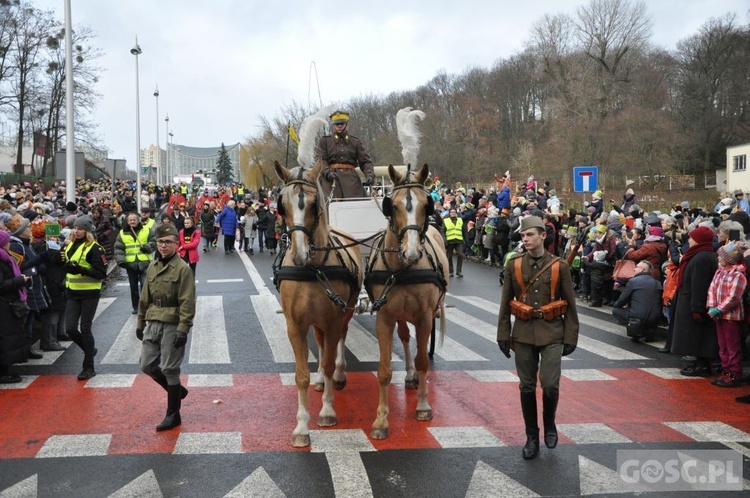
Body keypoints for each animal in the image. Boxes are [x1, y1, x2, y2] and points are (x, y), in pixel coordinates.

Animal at [274, 160, 364, 448]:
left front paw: (326, 411)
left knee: (337, 344)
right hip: (316, 323)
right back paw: (321, 382)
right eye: (282, 204)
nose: (299, 254)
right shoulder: (296, 326)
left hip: (344, 313)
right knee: (322, 344)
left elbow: (328, 362)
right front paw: (302, 427)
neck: (313, 269)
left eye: (314, 205)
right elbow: (301, 374)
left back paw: (337, 376)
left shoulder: (334, 320)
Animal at [368, 162, 450, 440]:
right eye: (392, 205)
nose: (412, 253)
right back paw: (411, 375)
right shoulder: (384, 316)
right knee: (404, 337)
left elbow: (424, 359)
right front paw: (381, 420)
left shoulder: (425, 317)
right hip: (400, 315)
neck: (401, 270)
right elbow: (384, 370)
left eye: (427, 205)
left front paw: (423, 406)